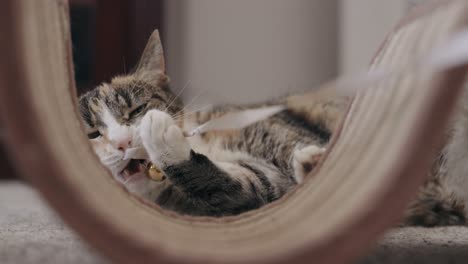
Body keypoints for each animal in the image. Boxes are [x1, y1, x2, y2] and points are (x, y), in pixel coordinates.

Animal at [77, 31, 348, 217]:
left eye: (137, 109)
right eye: (92, 134)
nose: (123, 142)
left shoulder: (278, 132)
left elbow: (296, 146)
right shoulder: (257, 189)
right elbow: (235, 185)